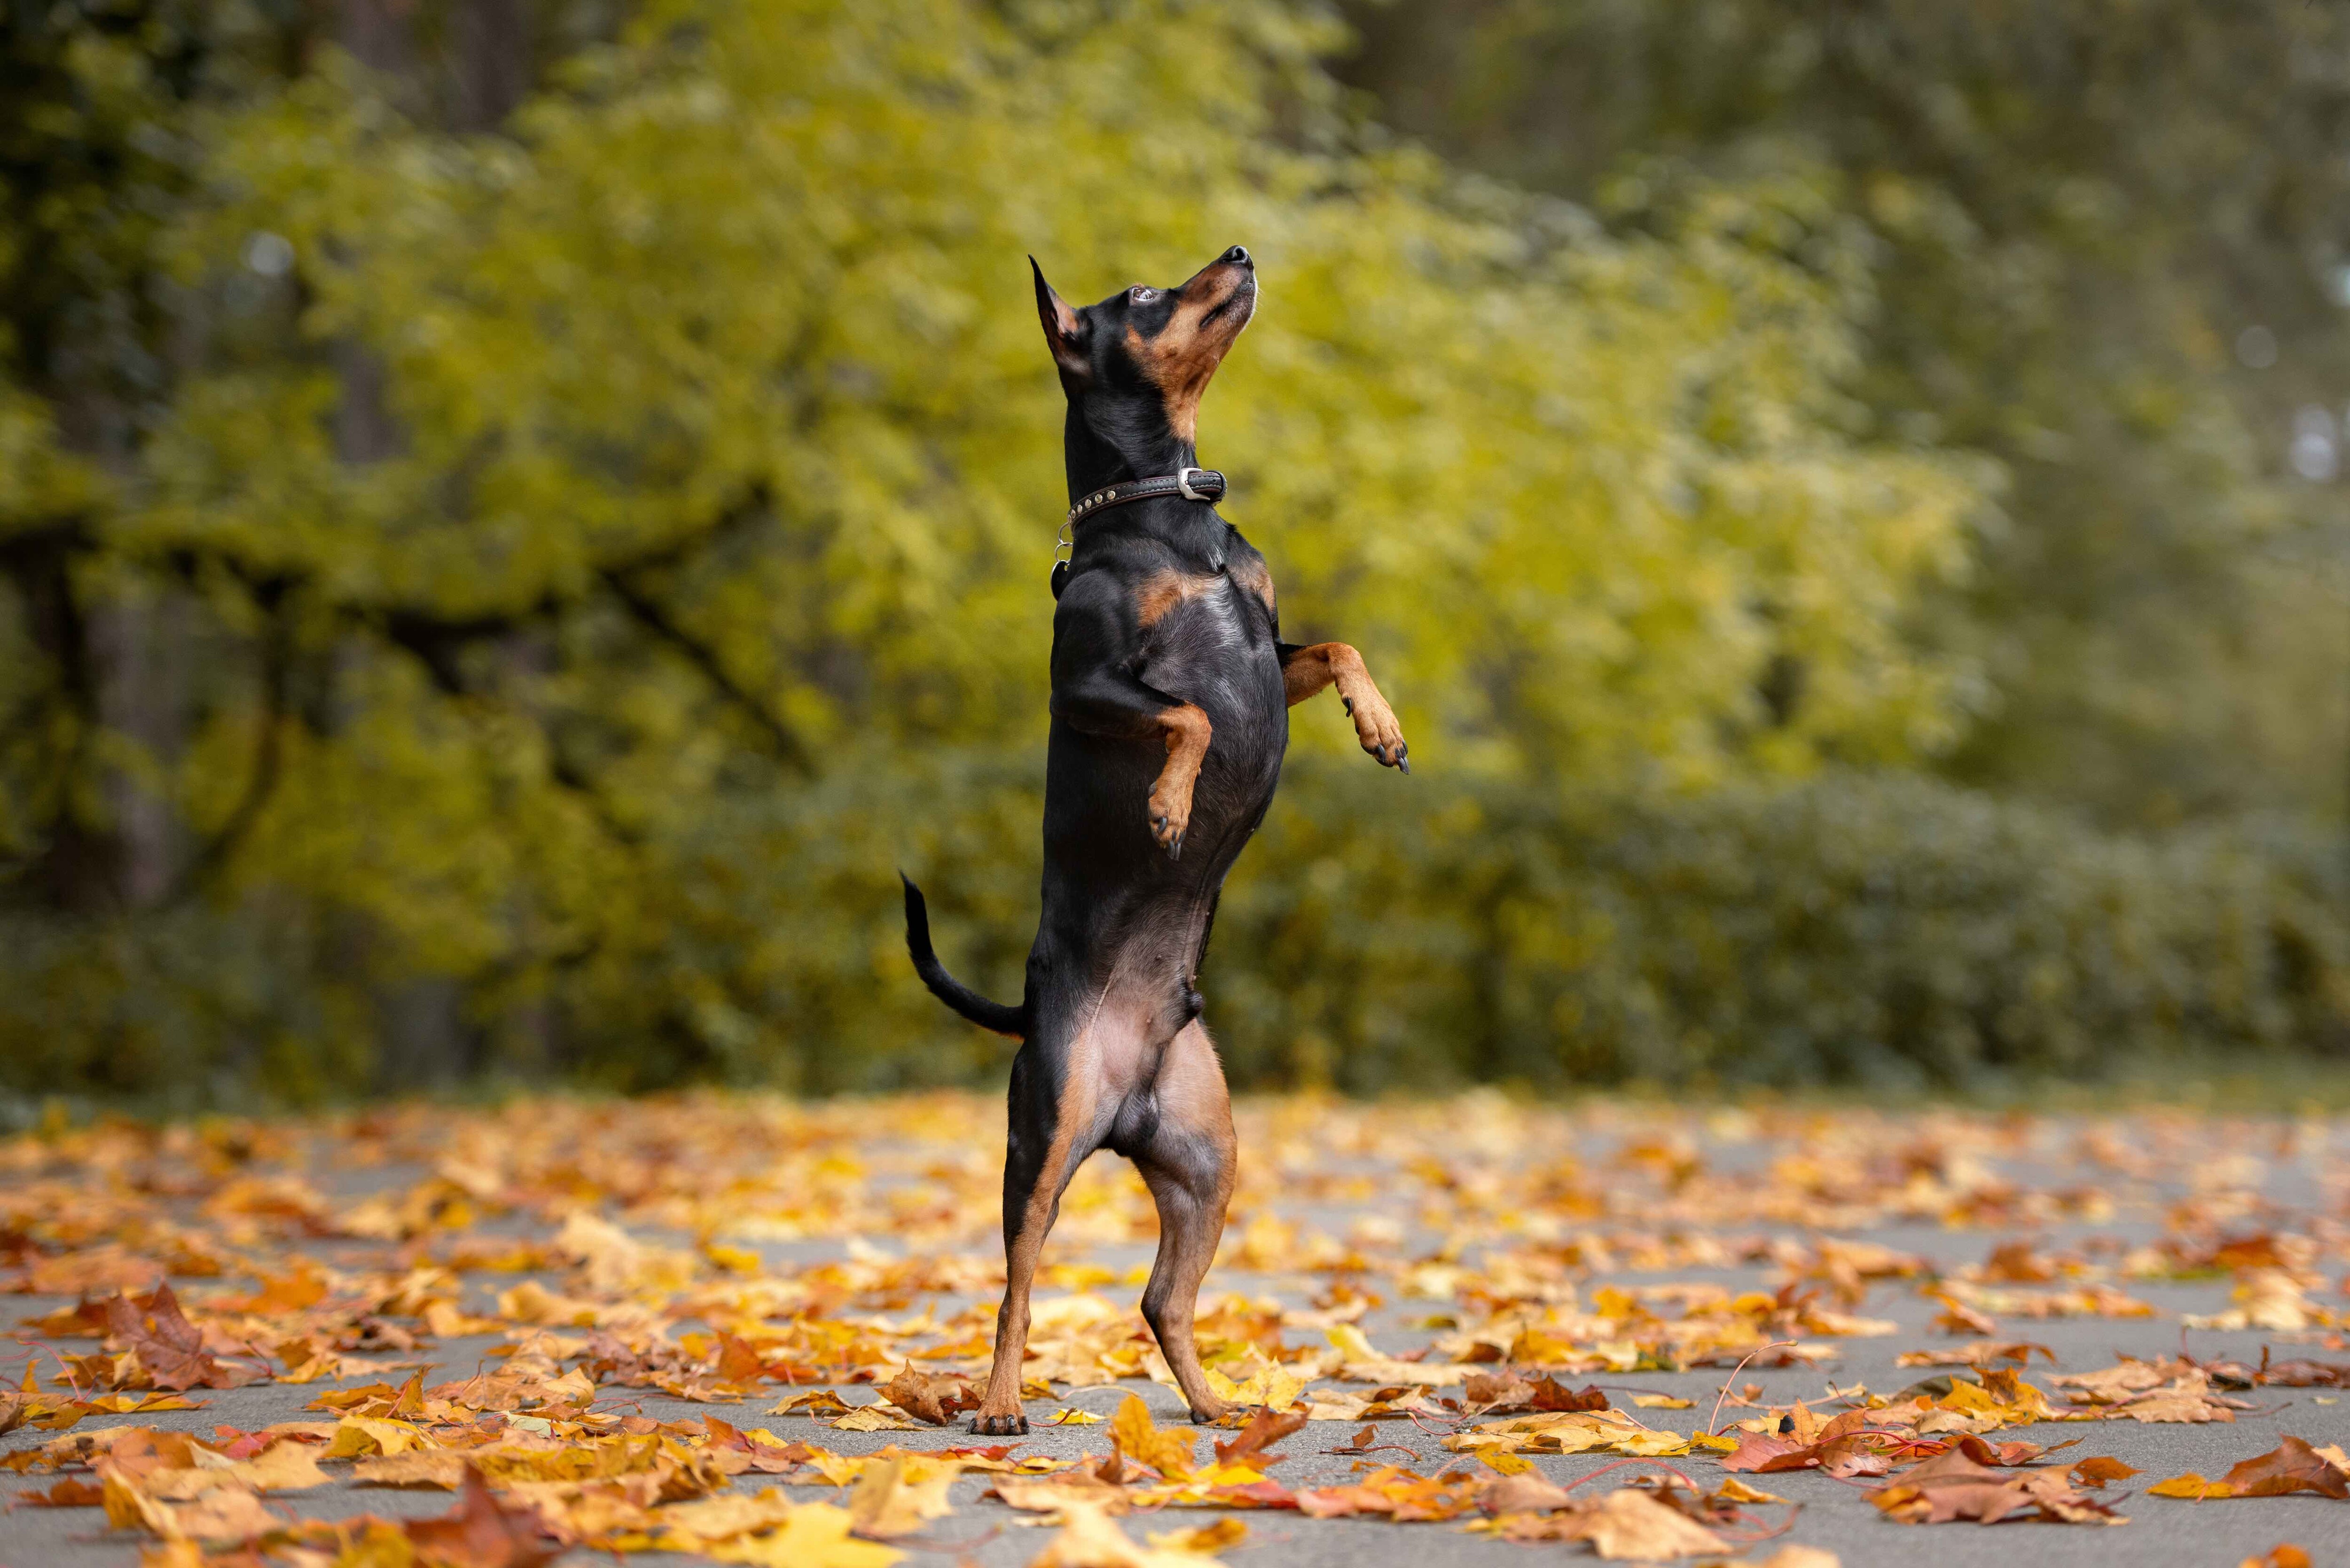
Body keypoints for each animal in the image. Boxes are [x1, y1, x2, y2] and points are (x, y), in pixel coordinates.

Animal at [898, 245, 1401, 1438]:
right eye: (1138, 296)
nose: (1242, 253)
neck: (1169, 521)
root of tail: (1118, 1090)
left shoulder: (1270, 641)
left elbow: (1338, 647)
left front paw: (1380, 724)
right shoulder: (1085, 684)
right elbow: (1191, 718)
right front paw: (1171, 809)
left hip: (1205, 1155)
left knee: (1160, 1298)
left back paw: (1218, 1403)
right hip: (1043, 1137)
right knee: (1018, 1284)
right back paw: (998, 1405)